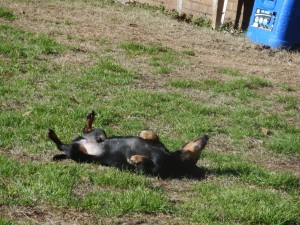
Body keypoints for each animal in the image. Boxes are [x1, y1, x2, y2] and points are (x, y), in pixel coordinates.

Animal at [48, 110, 209, 178]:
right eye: (197, 143)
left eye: (197, 156)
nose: (206, 136)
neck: (170, 158)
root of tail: (79, 140)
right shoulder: (159, 144)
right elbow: (154, 135)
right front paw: (144, 133)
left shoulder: (151, 171)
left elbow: (145, 164)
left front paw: (135, 158)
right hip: (100, 133)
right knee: (88, 130)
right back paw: (90, 117)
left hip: (76, 153)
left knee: (61, 146)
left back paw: (51, 134)